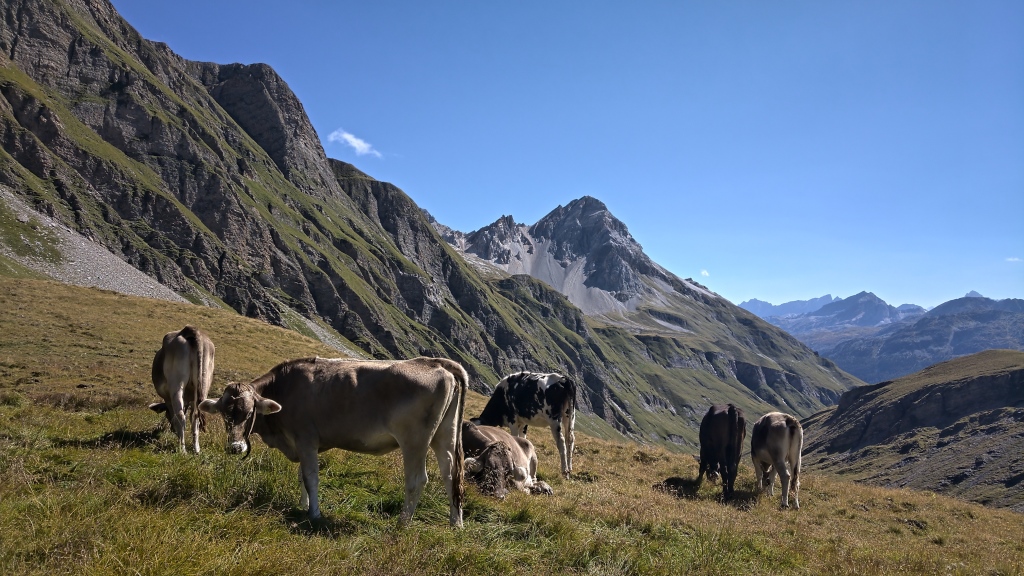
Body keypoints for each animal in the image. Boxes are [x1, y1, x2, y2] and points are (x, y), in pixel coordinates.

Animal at [149, 325, 215, 453]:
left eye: (166, 415)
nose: (172, 430)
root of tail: (191, 330)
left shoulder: (168, 398)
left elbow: (175, 415)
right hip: (204, 383)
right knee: (195, 417)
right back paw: (196, 449)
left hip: (176, 384)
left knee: (180, 416)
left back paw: (182, 449)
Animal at [199, 356, 467, 527]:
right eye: (224, 414)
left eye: (249, 413)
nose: (236, 447)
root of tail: (434, 362)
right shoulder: (303, 444)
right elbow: (301, 477)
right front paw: (303, 504)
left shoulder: (306, 439)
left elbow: (311, 478)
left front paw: (315, 514)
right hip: (445, 434)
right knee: (450, 475)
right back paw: (456, 524)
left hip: (414, 440)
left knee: (417, 480)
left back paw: (402, 524)